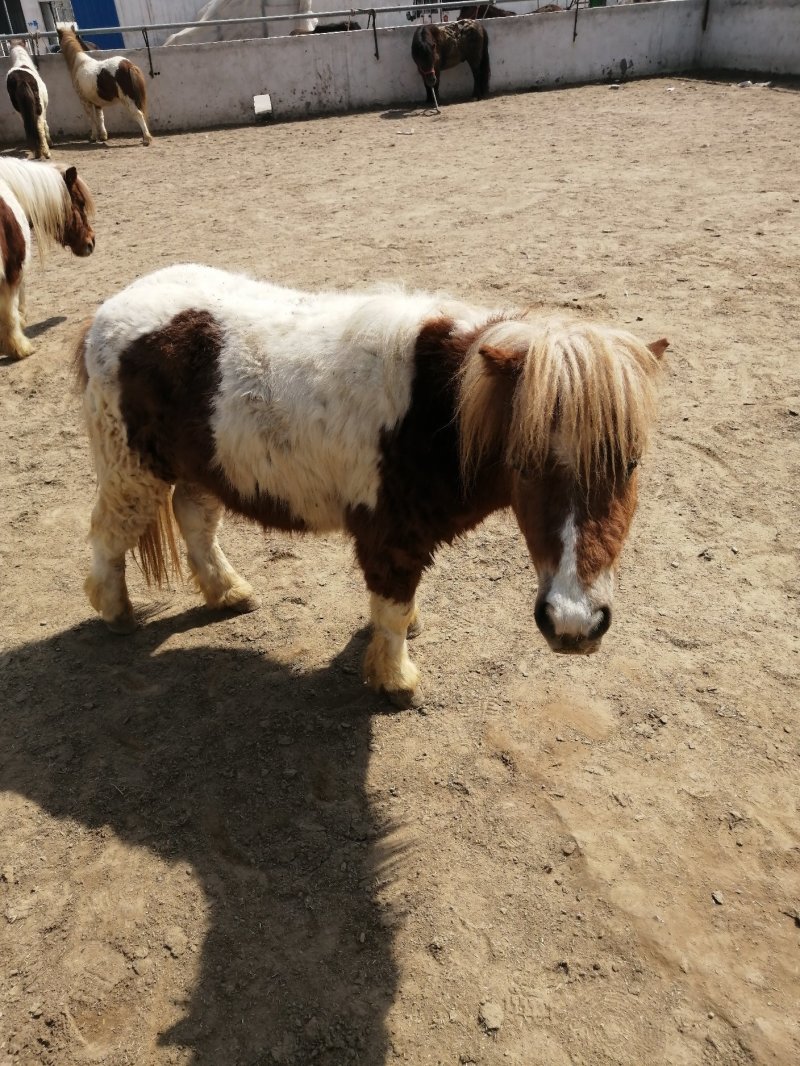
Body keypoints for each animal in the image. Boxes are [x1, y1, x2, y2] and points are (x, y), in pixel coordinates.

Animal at [74, 263, 667, 706]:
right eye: (525, 464)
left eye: (631, 462)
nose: (573, 624)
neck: (440, 407)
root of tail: (109, 311)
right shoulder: (390, 537)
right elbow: (392, 609)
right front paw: (395, 679)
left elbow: (398, 606)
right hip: (132, 472)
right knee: (108, 534)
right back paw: (117, 612)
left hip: (202, 468)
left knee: (195, 522)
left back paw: (228, 592)